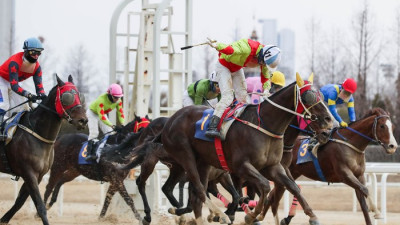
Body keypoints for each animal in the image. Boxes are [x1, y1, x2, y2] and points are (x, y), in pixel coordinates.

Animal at [0, 75, 87, 225]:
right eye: (67, 96)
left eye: (79, 95)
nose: (83, 120)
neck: (36, 133)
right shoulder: (28, 172)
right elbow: (40, 206)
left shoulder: (39, 175)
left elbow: (19, 202)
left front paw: (4, 219)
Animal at [158, 73, 332, 224]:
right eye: (308, 97)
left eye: (322, 96)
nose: (329, 123)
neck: (264, 126)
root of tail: (170, 120)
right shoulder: (241, 167)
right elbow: (264, 187)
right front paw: (252, 216)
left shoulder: (273, 166)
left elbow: (292, 187)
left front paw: (312, 216)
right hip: (185, 155)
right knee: (199, 190)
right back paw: (220, 215)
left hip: (204, 163)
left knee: (196, 197)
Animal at [266, 107, 396, 225]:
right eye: (382, 126)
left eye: (392, 127)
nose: (393, 146)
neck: (350, 143)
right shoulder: (344, 174)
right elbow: (365, 189)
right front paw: (377, 212)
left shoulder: (359, 176)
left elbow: (363, 202)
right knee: (274, 199)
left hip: (291, 174)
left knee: (272, 197)